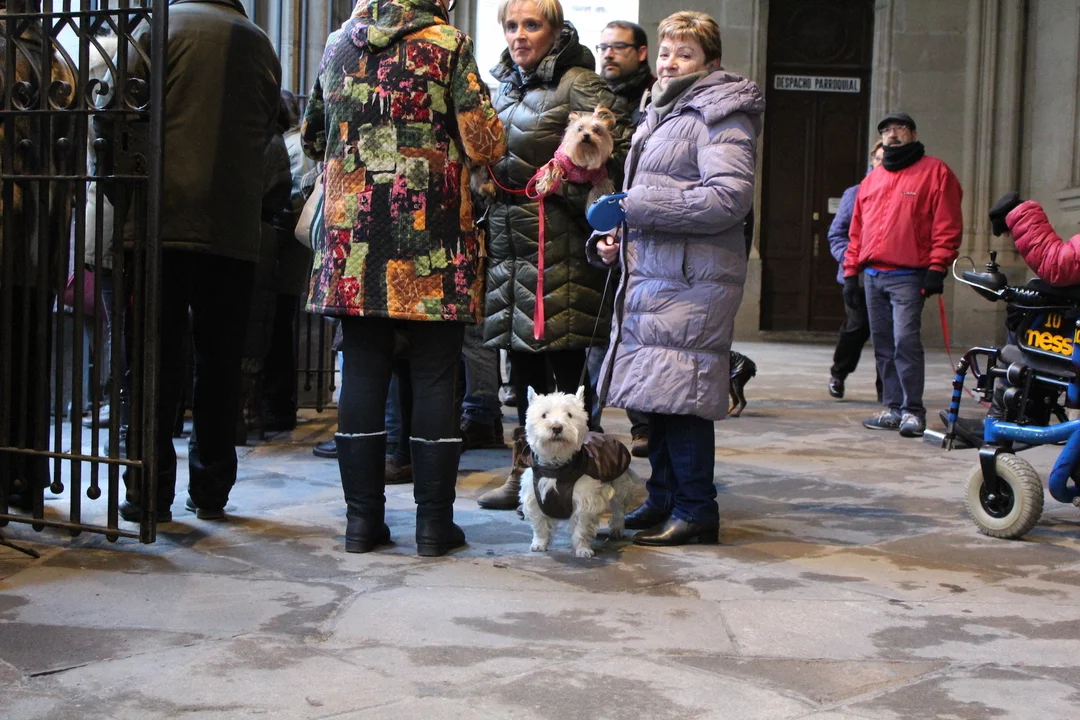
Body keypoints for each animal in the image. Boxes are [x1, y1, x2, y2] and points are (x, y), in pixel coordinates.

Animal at [519, 386, 635, 558]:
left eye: (569, 414)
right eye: (544, 415)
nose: (557, 427)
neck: (557, 466)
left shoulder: (585, 501)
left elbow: (582, 527)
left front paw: (583, 549)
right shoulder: (535, 498)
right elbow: (540, 524)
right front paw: (539, 544)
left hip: (620, 483)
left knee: (619, 508)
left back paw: (616, 530)